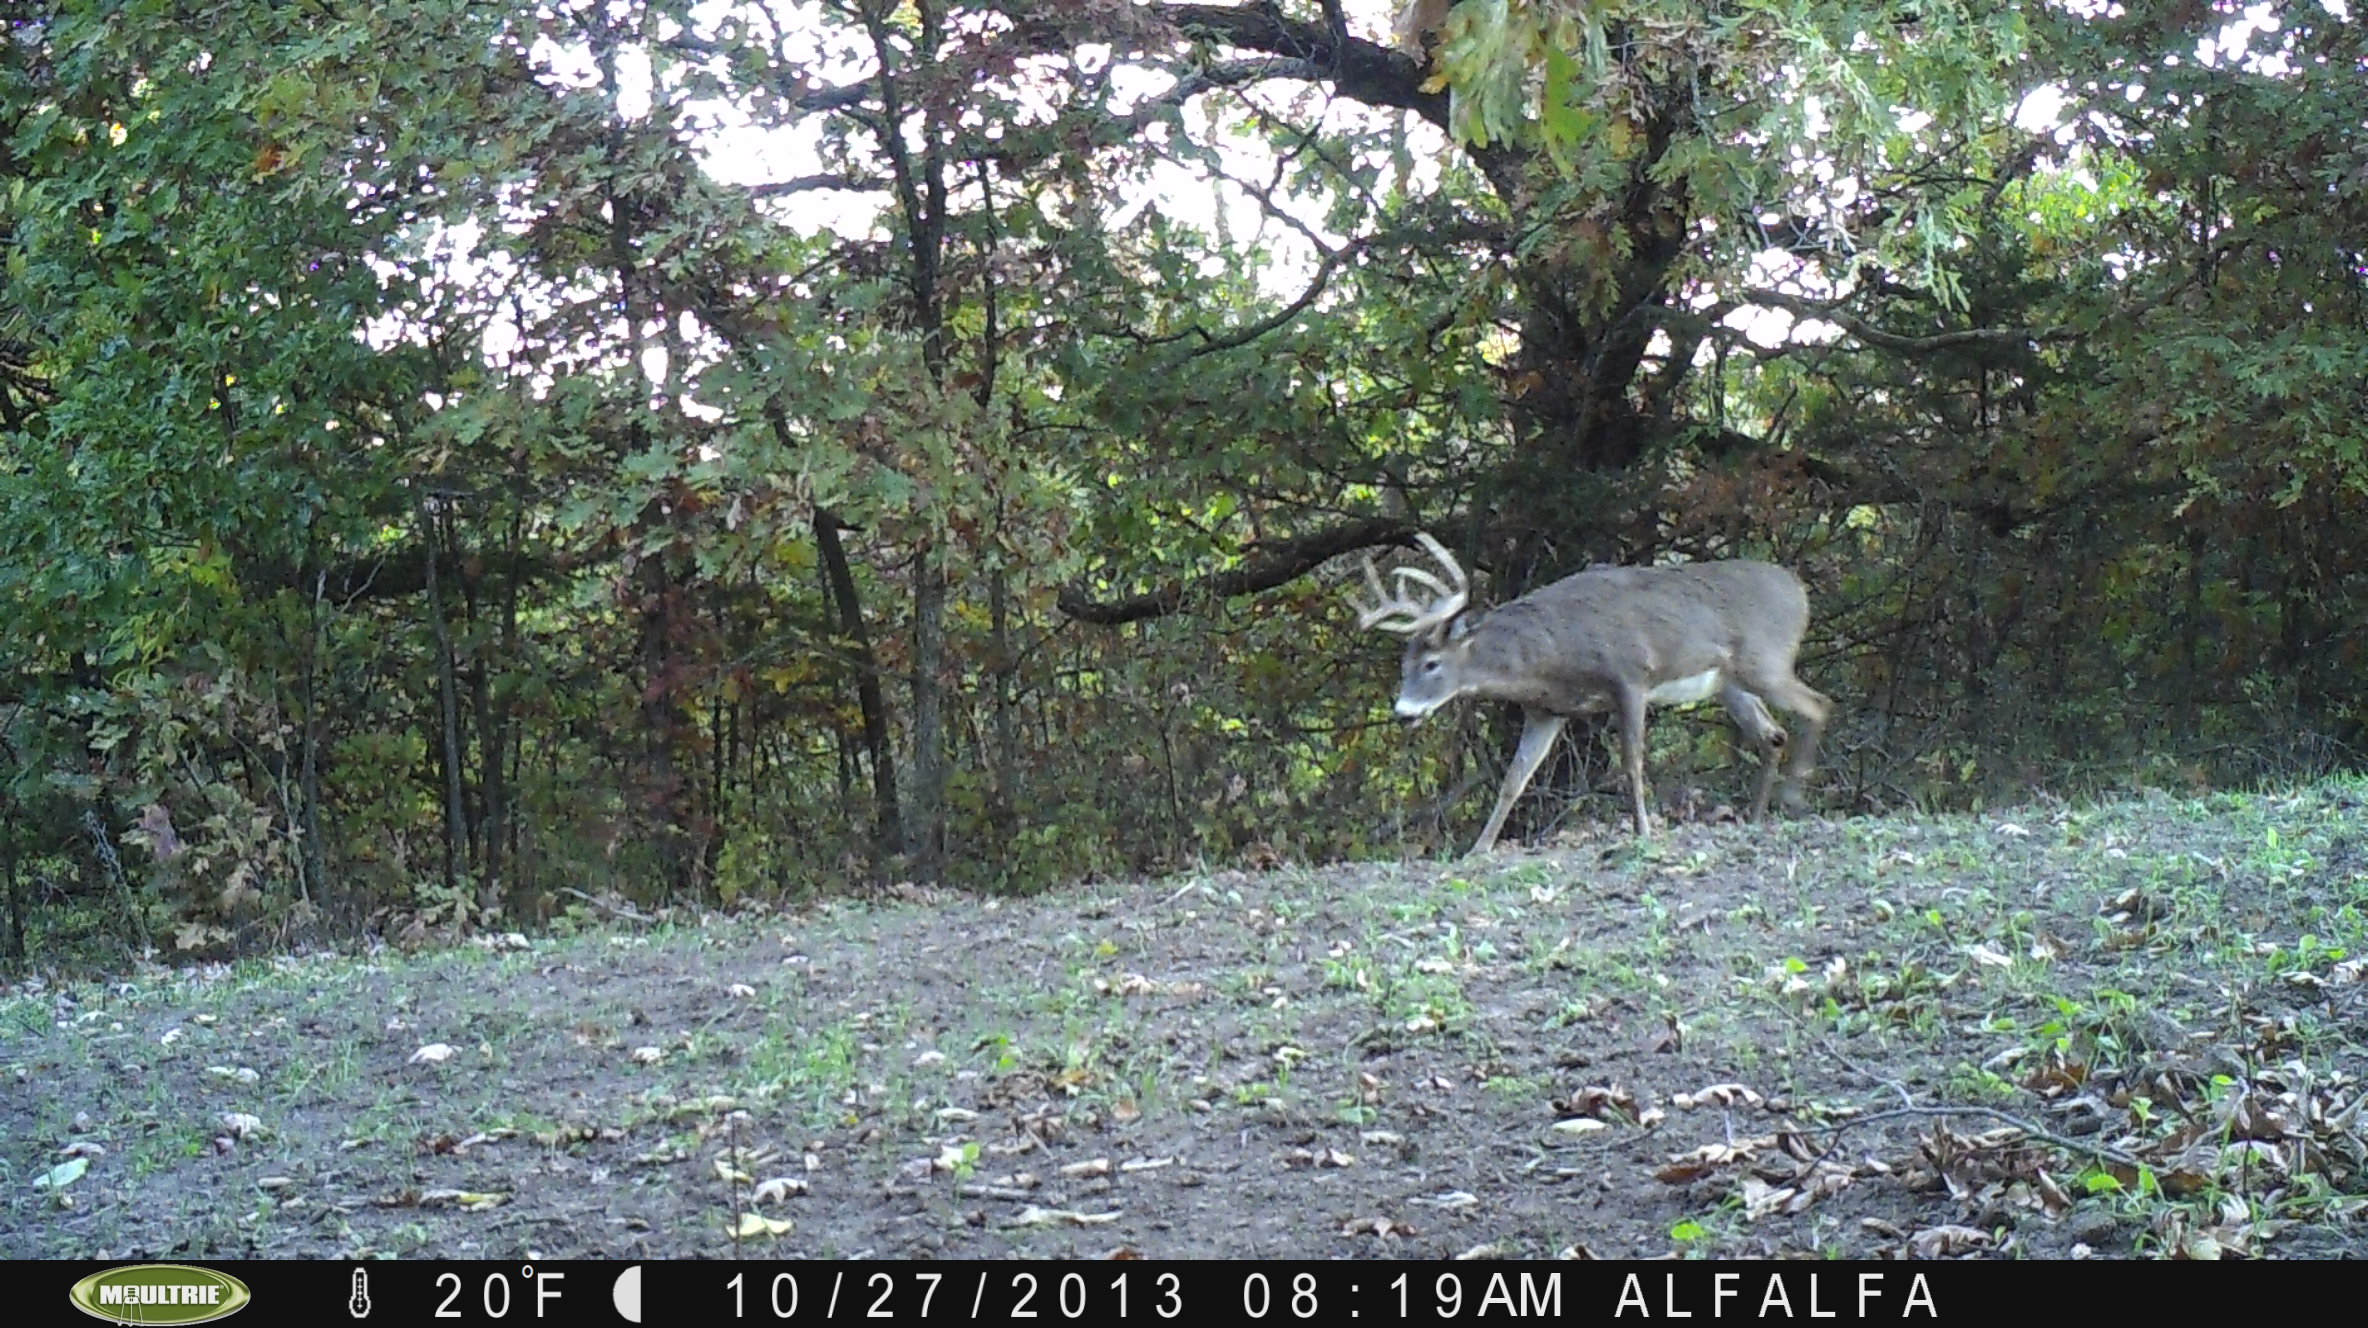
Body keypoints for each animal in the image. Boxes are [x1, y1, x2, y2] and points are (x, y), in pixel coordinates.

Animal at [1354, 532, 1828, 852]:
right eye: (1404, 664)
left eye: (1432, 664)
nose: (1403, 711)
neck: (1556, 655)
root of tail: (1801, 592)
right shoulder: (1546, 711)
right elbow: (1514, 779)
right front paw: (1479, 849)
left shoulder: (1631, 677)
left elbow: (1632, 763)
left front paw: (1642, 831)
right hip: (1730, 683)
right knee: (1773, 735)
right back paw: (1756, 817)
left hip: (1765, 661)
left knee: (1819, 706)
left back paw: (1793, 798)